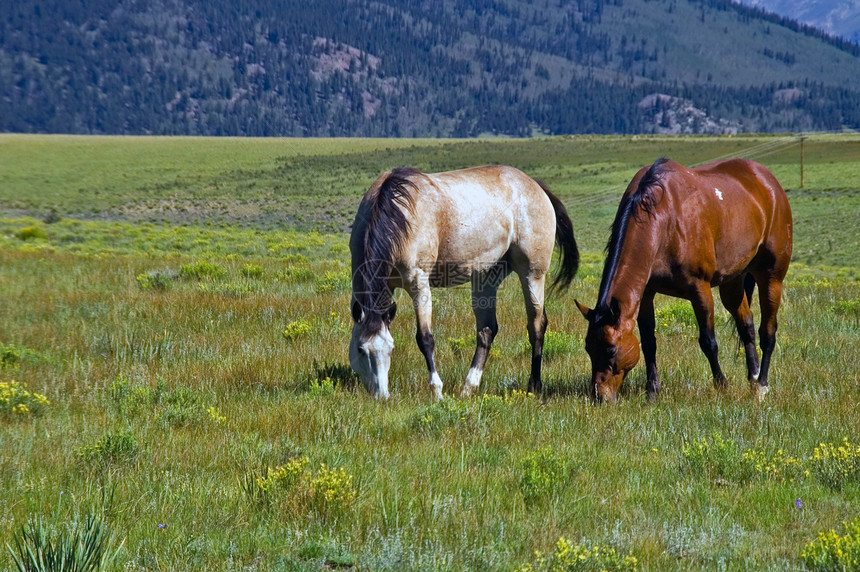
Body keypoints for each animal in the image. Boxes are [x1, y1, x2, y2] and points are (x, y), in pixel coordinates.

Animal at [348, 164, 576, 398]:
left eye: (391, 349)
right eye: (360, 349)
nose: (381, 395)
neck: (397, 213)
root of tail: (535, 186)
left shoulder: (418, 283)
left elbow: (425, 338)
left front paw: (437, 390)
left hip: (532, 275)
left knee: (536, 325)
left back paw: (534, 385)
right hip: (486, 277)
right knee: (487, 330)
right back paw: (469, 387)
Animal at [576, 158, 792, 402]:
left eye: (611, 350)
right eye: (588, 348)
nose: (599, 396)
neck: (664, 220)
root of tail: (768, 181)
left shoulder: (700, 290)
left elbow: (708, 342)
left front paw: (721, 385)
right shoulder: (646, 293)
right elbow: (649, 342)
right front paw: (652, 391)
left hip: (771, 278)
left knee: (768, 332)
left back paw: (762, 385)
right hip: (732, 281)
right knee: (747, 325)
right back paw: (753, 378)